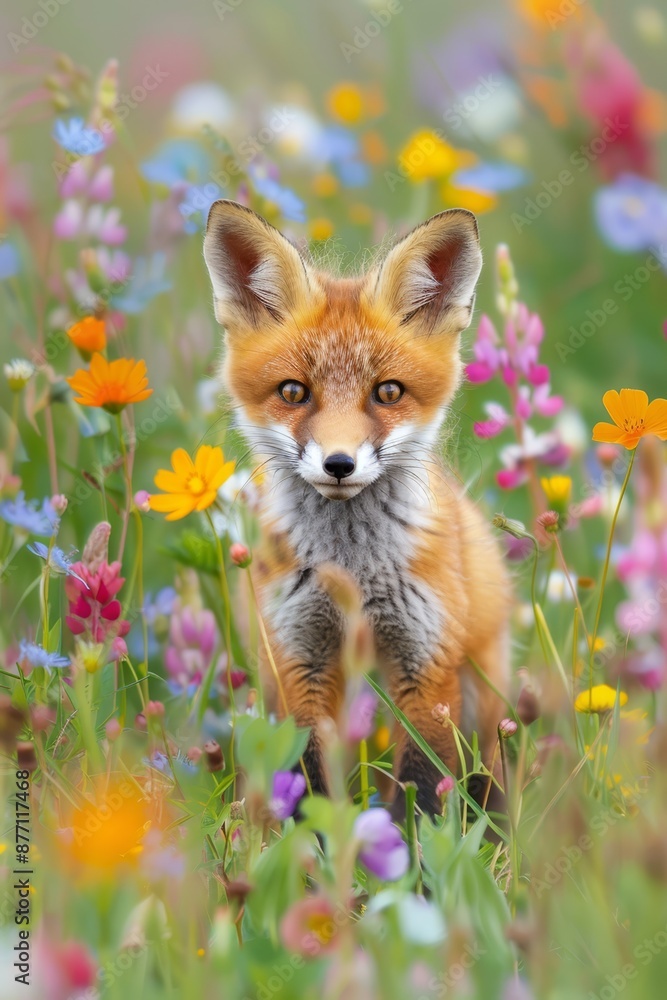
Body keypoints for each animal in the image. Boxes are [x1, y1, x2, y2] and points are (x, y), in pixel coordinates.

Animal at [203, 199, 511, 817]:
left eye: (387, 392)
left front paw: (412, 847)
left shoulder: (426, 664)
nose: (339, 464)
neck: (352, 571)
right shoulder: (300, 661)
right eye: (293, 392)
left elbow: (423, 790)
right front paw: (317, 844)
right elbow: (308, 783)